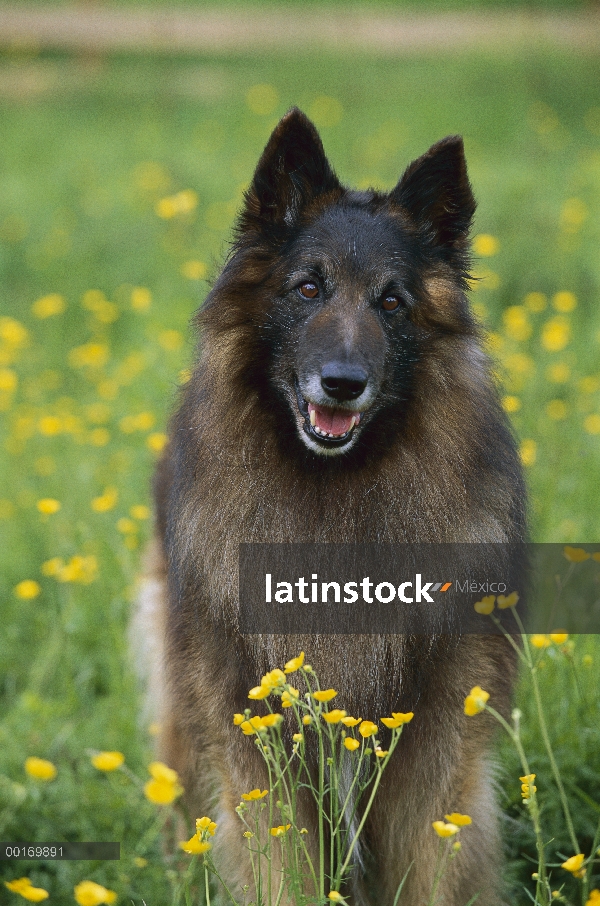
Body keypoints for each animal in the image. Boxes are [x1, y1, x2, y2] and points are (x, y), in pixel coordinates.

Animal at [139, 109, 524, 900]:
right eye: (308, 288)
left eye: (391, 301)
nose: (341, 383)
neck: (335, 495)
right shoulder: (252, 734)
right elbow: (281, 864)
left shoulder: (437, 737)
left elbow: (432, 858)